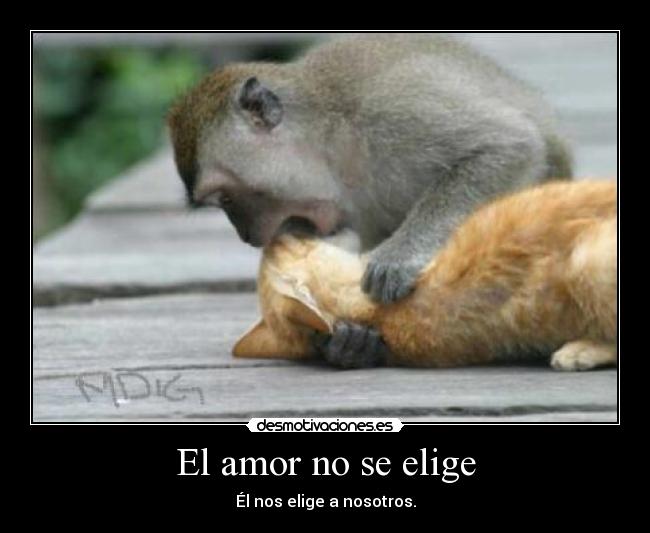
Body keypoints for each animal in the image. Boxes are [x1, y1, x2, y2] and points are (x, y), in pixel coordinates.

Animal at [167, 33, 573, 367]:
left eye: (225, 198)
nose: (247, 235)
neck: (334, 139)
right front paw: (352, 341)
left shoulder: (395, 109)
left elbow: (508, 145)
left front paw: (398, 258)